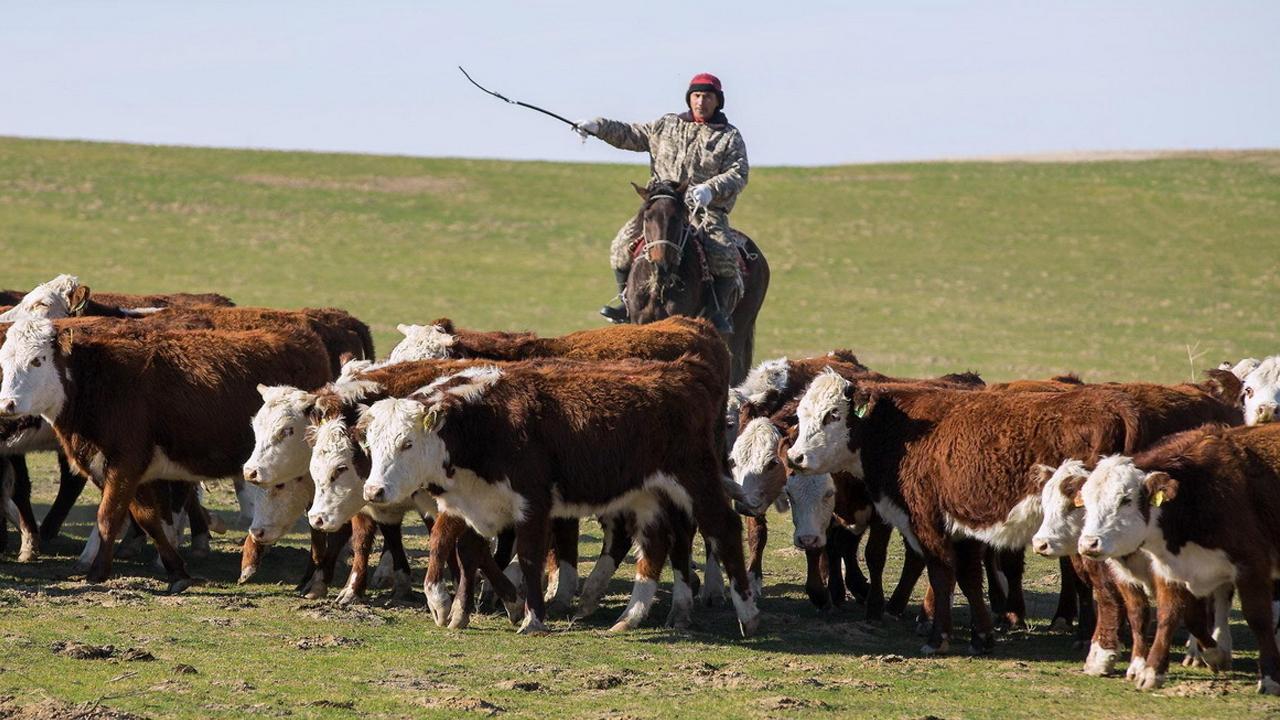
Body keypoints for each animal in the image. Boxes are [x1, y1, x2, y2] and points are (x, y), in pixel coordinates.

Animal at [1075, 422, 1280, 691]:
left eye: (1126, 499)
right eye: (1086, 502)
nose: (1088, 543)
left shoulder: (1252, 566)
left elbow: (1259, 619)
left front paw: (1270, 678)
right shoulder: (1171, 569)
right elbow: (1173, 617)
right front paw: (1155, 670)